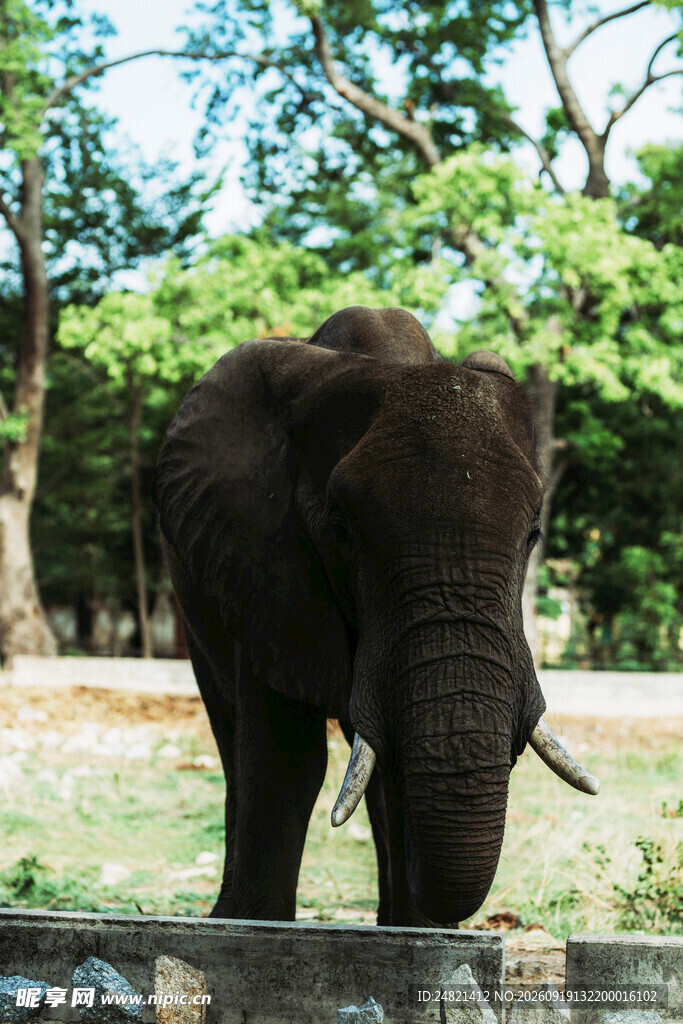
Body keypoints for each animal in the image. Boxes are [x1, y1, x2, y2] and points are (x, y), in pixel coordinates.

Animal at [152, 305, 598, 928]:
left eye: (533, 533)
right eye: (341, 531)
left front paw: (418, 935)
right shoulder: (262, 567)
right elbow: (287, 758)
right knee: (231, 731)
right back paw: (224, 917)